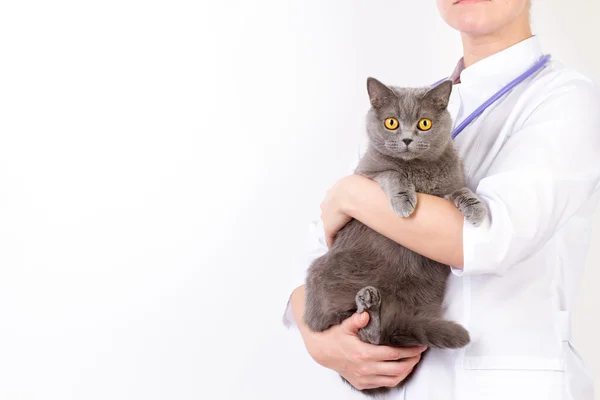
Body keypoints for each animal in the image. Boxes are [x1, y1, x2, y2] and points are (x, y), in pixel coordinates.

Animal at [304, 78, 488, 396]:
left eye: (424, 123)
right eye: (392, 122)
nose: (406, 140)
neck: (419, 171)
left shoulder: (450, 184)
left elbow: (460, 190)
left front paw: (475, 207)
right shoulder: (366, 175)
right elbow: (392, 173)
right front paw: (403, 201)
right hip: (322, 278)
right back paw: (368, 306)